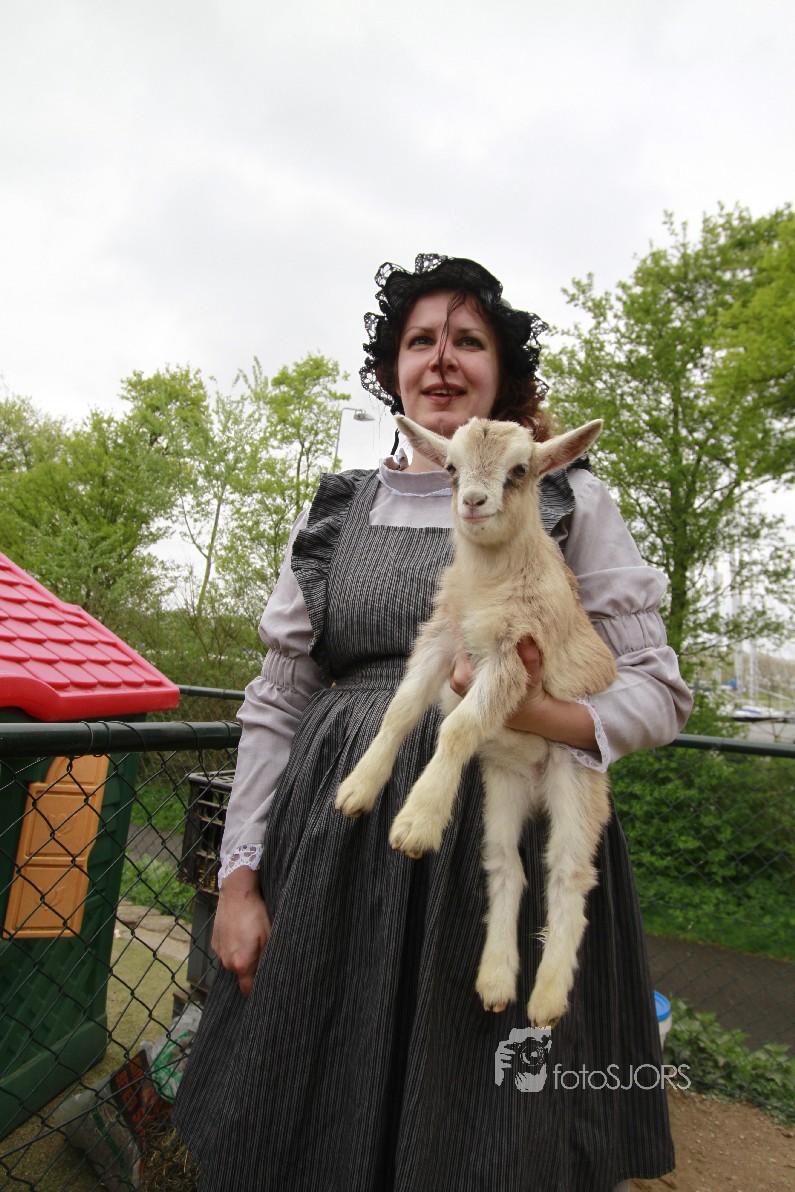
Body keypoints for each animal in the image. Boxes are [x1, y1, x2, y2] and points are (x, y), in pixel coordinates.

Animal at [335, 414, 617, 1028]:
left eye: (521, 470)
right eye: (449, 467)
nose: (473, 501)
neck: (491, 581)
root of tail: (535, 783)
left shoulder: (514, 656)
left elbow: (459, 727)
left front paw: (416, 823)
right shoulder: (444, 635)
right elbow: (401, 709)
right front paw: (357, 790)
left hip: (578, 780)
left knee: (569, 875)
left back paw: (546, 1000)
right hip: (502, 785)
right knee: (506, 866)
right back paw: (495, 982)